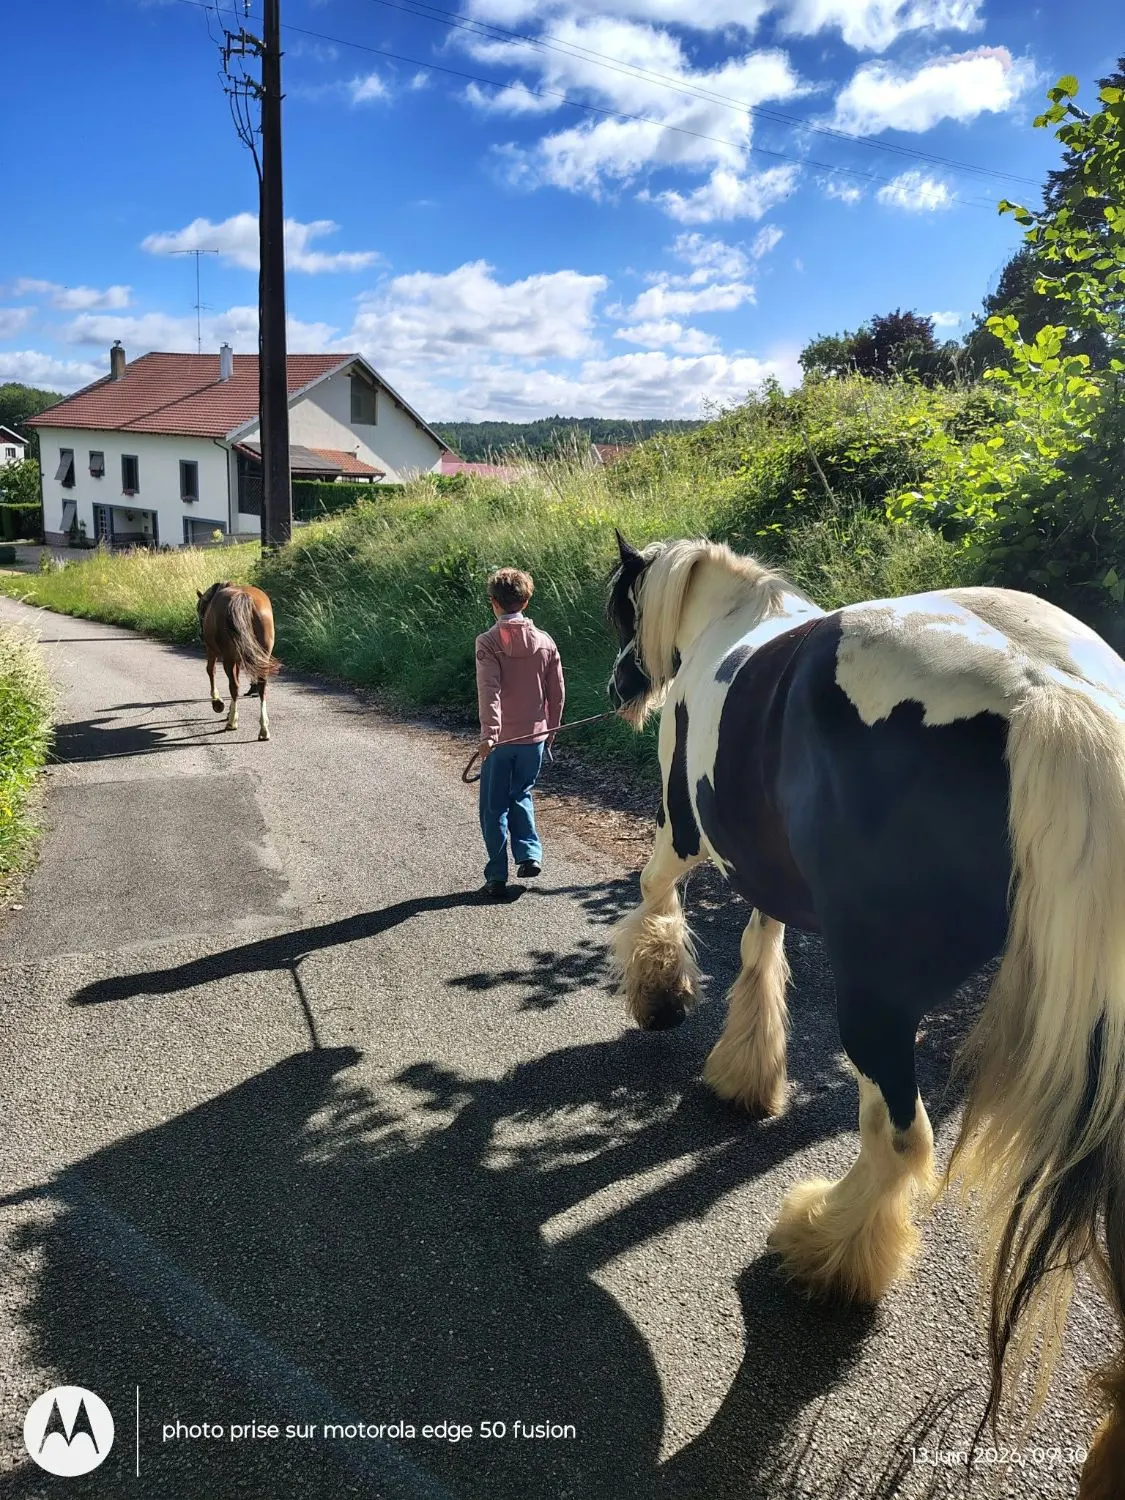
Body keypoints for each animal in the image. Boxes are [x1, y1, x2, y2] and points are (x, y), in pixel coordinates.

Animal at [196, 581, 279, 741]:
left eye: (199, 609)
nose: (201, 634)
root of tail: (243, 596)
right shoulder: (238, 658)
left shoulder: (212, 651)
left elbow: (210, 670)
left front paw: (217, 703)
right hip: (262, 655)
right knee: (261, 686)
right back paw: (264, 728)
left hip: (228, 657)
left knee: (234, 686)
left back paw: (232, 722)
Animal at [605, 531, 1125, 1498]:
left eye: (621, 602)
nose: (621, 683)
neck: (728, 621)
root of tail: (1053, 695)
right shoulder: (770, 872)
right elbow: (759, 954)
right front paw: (746, 1072)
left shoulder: (685, 833)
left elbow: (657, 899)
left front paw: (659, 993)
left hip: (876, 1001)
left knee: (897, 1139)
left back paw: (826, 1249)